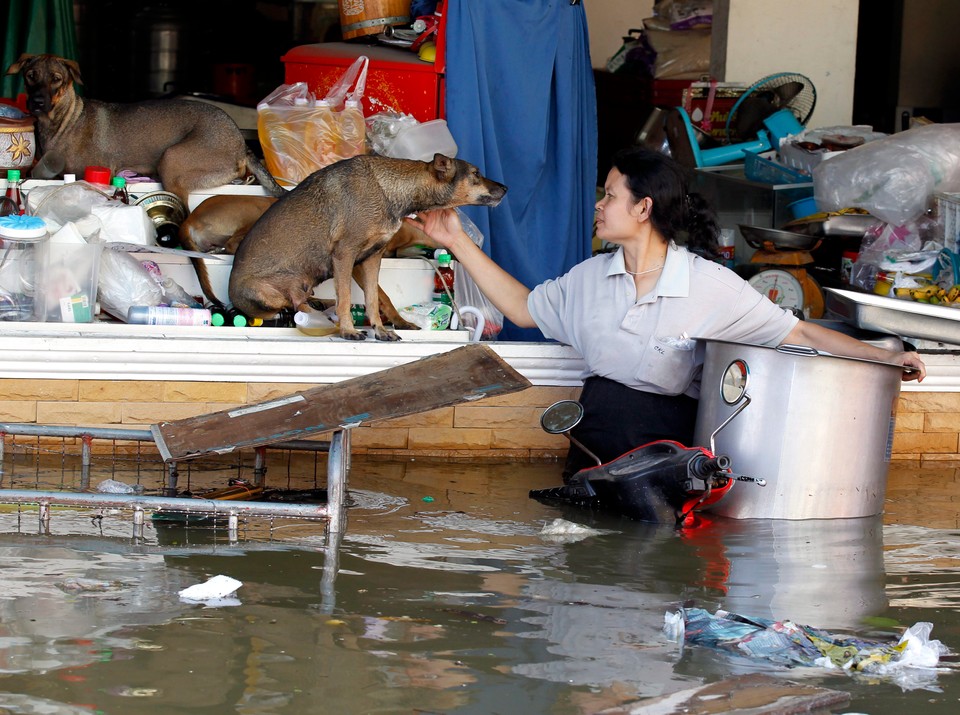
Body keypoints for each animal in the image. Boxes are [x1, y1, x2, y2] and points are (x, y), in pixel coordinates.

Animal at [7, 53, 284, 203]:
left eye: (56, 79)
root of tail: (241, 145)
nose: (36, 102)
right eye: (30, 75)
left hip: (171, 160)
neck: (63, 121)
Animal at [229, 153, 506, 342]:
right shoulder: (345, 255)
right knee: (290, 306)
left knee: (299, 301)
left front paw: (381, 330)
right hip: (264, 292)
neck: (391, 191)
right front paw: (348, 329)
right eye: (476, 173)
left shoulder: (371, 258)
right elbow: (345, 298)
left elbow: (374, 298)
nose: (506, 187)